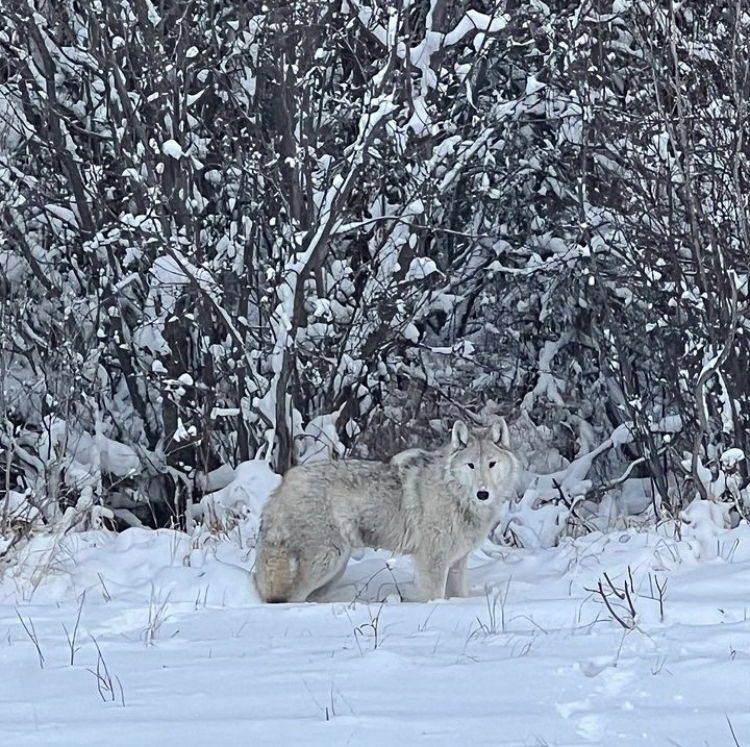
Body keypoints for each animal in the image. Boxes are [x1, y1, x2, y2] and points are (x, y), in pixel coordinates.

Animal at [254, 419, 520, 603]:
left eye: (492, 464)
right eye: (471, 465)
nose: (483, 494)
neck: (456, 495)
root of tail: (286, 482)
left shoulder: (458, 563)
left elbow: (460, 596)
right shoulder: (433, 563)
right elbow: (435, 598)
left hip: (334, 570)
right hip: (328, 561)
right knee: (290, 598)